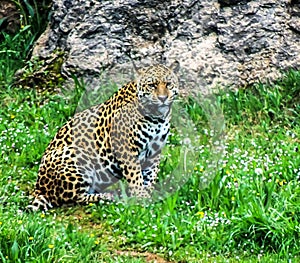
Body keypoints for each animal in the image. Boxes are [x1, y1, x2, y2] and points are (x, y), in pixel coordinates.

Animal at [27, 65, 178, 211]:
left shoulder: (155, 152)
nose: (163, 98)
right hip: (76, 155)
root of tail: (39, 188)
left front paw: (148, 195)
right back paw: (108, 196)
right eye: (152, 85)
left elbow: (150, 176)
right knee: (73, 197)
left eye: (168, 84)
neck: (157, 117)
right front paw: (141, 197)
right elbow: (135, 176)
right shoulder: (125, 148)